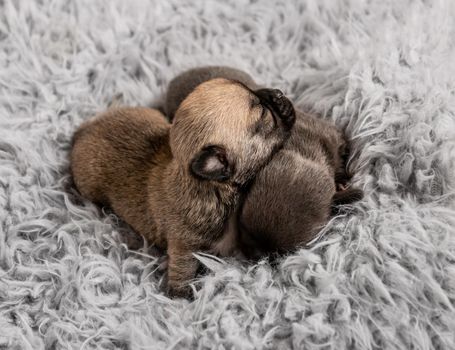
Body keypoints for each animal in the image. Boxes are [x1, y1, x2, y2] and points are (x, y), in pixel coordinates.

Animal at [71, 78, 296, 296]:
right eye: (264, 113)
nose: (278, 92)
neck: (213, 188)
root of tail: (84, 129)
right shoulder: (185, 247)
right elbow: (183, 268)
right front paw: (182, 294)